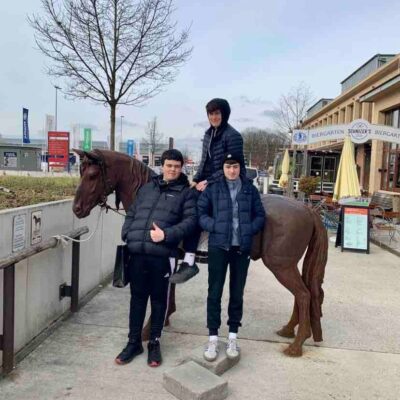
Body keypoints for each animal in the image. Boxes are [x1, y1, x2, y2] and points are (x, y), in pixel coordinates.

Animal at [72, 149, 328, 357]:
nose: (76, 209)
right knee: (304, 294)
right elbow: (170, 292)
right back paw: (289, 330)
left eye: (92, 175)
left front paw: (148, 330)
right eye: (80, 172)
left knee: (303, 295)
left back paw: (296, 345)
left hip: (280, 265)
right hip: (289, 266)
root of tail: (306, 208)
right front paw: (165, 319)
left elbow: (162, 294)